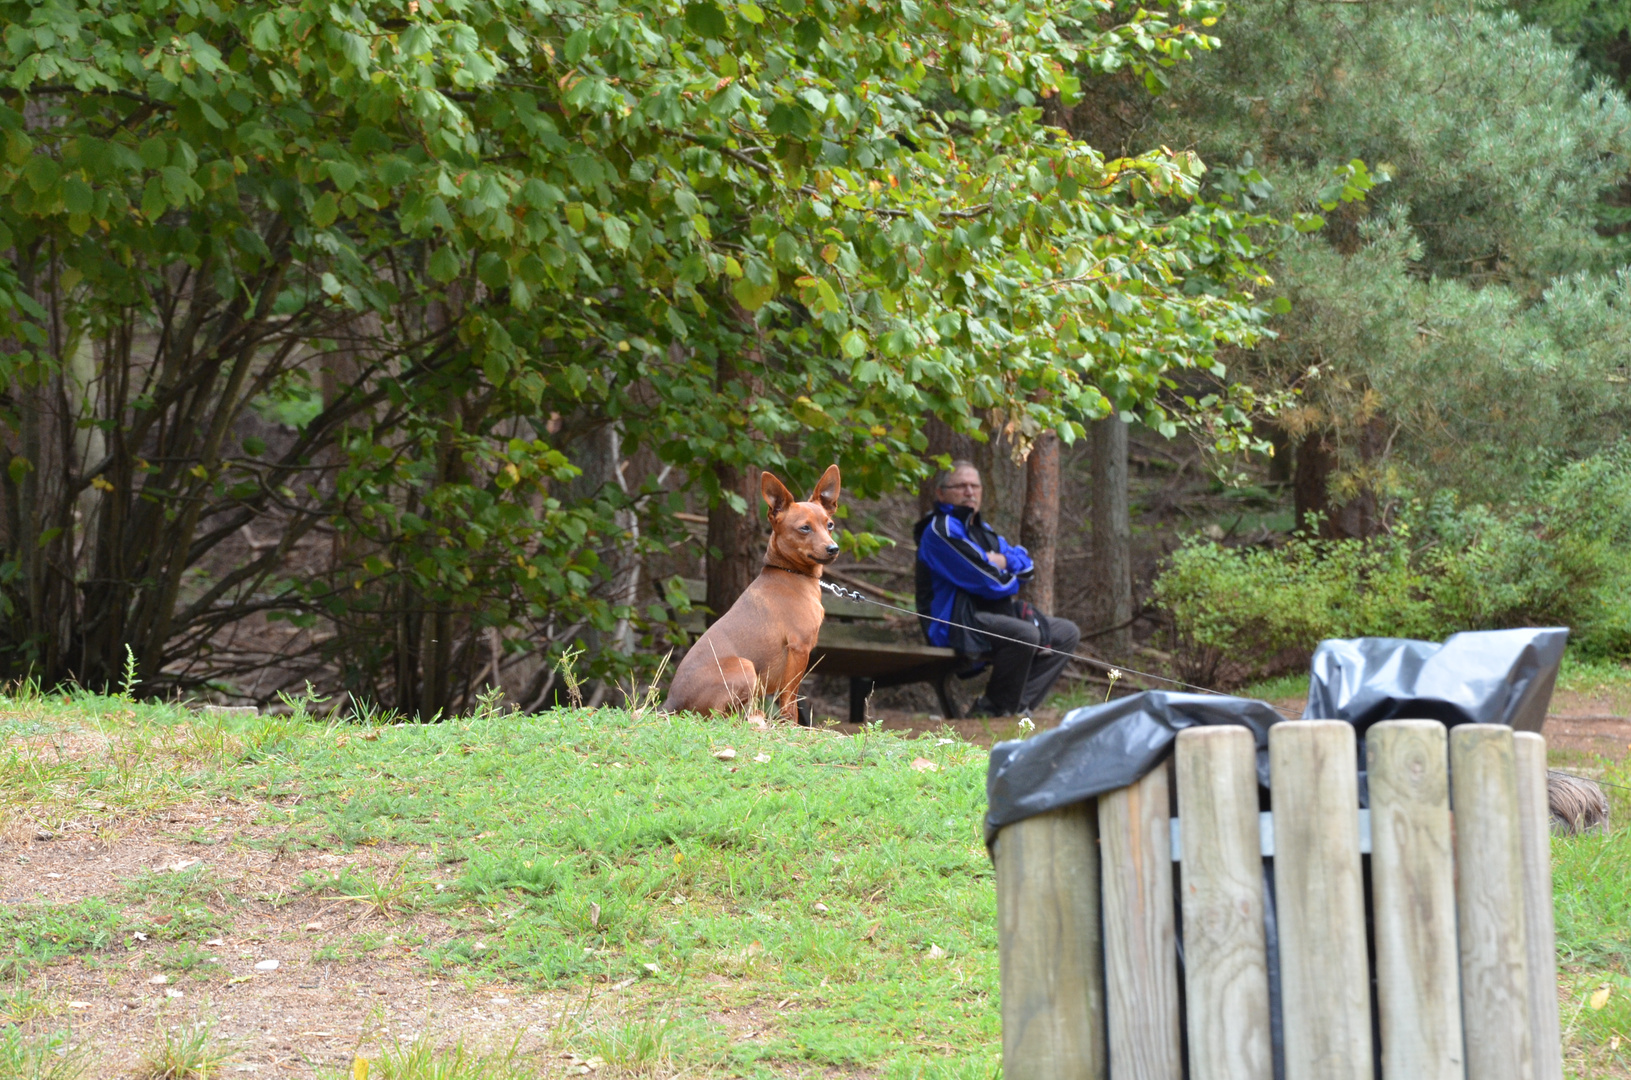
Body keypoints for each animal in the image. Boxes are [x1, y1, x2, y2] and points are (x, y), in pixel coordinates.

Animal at [662, 469, 841, 724]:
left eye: (830, 525)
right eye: (804, 528)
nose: (833, 549)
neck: (791, 573)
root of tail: (671, 702)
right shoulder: (799, 650)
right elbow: (790, 703)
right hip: (745, 666)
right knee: (718, 718)